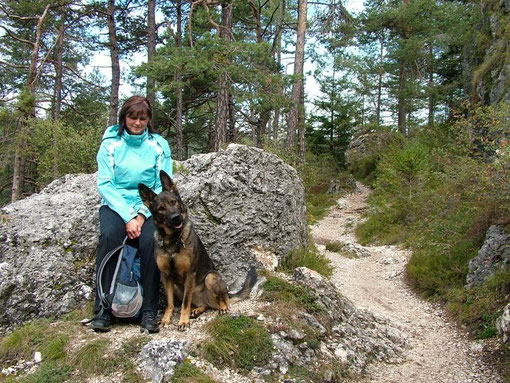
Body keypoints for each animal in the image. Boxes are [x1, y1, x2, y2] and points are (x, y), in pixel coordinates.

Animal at [138, 170, 255, 330]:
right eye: (161, 209)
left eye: (173, 202)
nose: (176, 217)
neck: (173, 240)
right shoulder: (166, 276)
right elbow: (170, 303)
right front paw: (166, 319)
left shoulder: (190, 274)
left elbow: (185, 302)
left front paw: (183, 321)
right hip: (177, 288)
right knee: (203, 305)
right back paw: (197, 310)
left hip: (210, 278)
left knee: (222, 301)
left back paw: (222, 308)